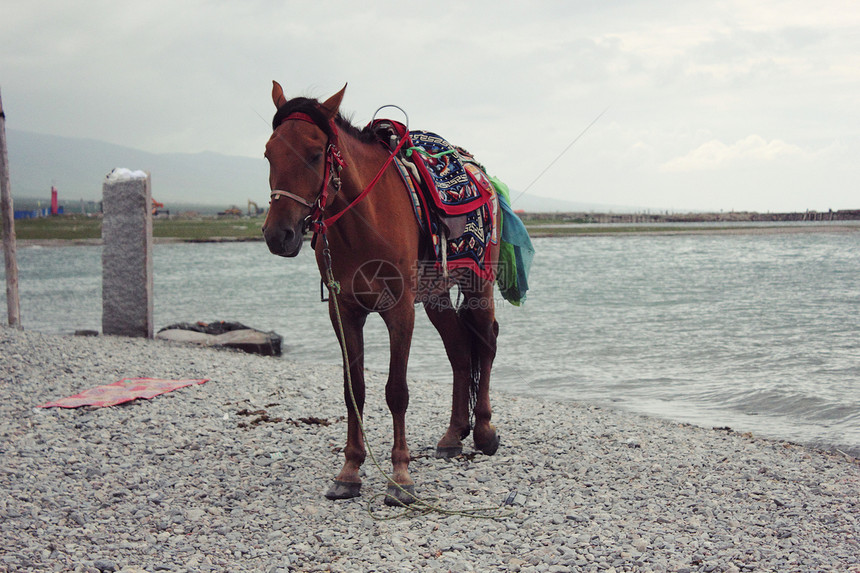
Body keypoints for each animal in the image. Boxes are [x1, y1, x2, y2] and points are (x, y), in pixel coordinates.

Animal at [264, 81, 504, 504]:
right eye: (268, 153)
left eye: (314, 154)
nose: (279, 235)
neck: (365, 222)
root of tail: (481, 175)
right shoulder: (344, 312)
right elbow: (354, 390)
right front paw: (349, 471)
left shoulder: (400, 311)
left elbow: (397, 391)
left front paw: (401, 477)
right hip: (437, 296)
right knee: (460, 352)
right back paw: (453, 435)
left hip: (479, 285)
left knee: (486, 345)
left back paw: (484, 433)